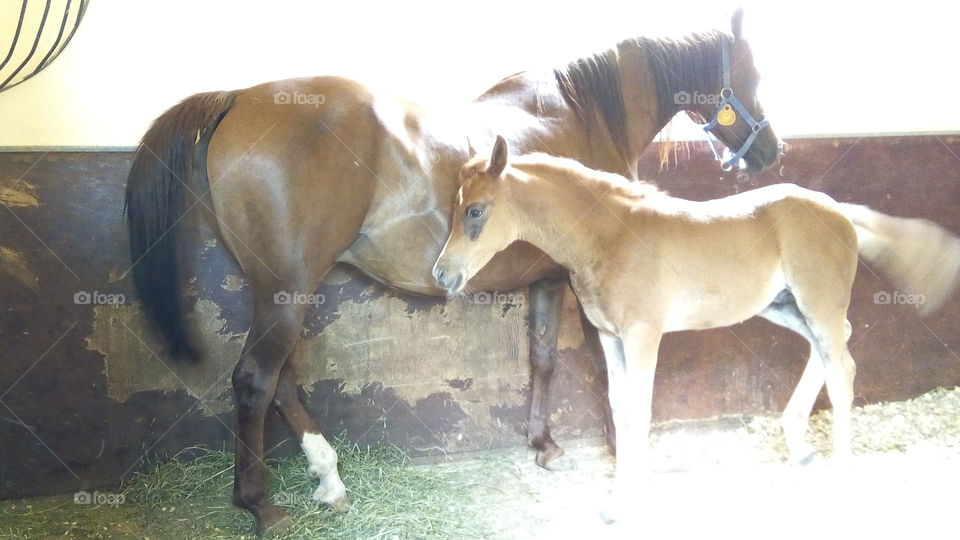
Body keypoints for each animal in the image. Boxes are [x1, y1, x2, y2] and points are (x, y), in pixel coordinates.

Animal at [124, 10, 781, 534]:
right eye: (752, 73)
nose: (772, 152)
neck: (583, 115)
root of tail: (238, 96)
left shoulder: (546, 280)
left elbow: (542, 358)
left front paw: (543, 445)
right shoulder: (586, 284)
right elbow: (609, 374)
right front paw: (622, 454)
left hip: (279, 292)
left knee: (280, 380)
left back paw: (328, 480)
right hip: (288, 292)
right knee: (256, 380)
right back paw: (261, 506)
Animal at [433, 136, 960, 521]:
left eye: (475, 210)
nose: (441, 274)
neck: (610, 235)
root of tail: (839, 210)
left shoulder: (643, 335)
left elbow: (639, 413)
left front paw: (628, 503)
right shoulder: (610, 337)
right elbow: (620, 410)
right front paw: (621, 496)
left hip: (818, 301)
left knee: (843, 367)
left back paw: (840, 471)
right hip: (784, 307)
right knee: (833, 345)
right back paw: (799, 445)